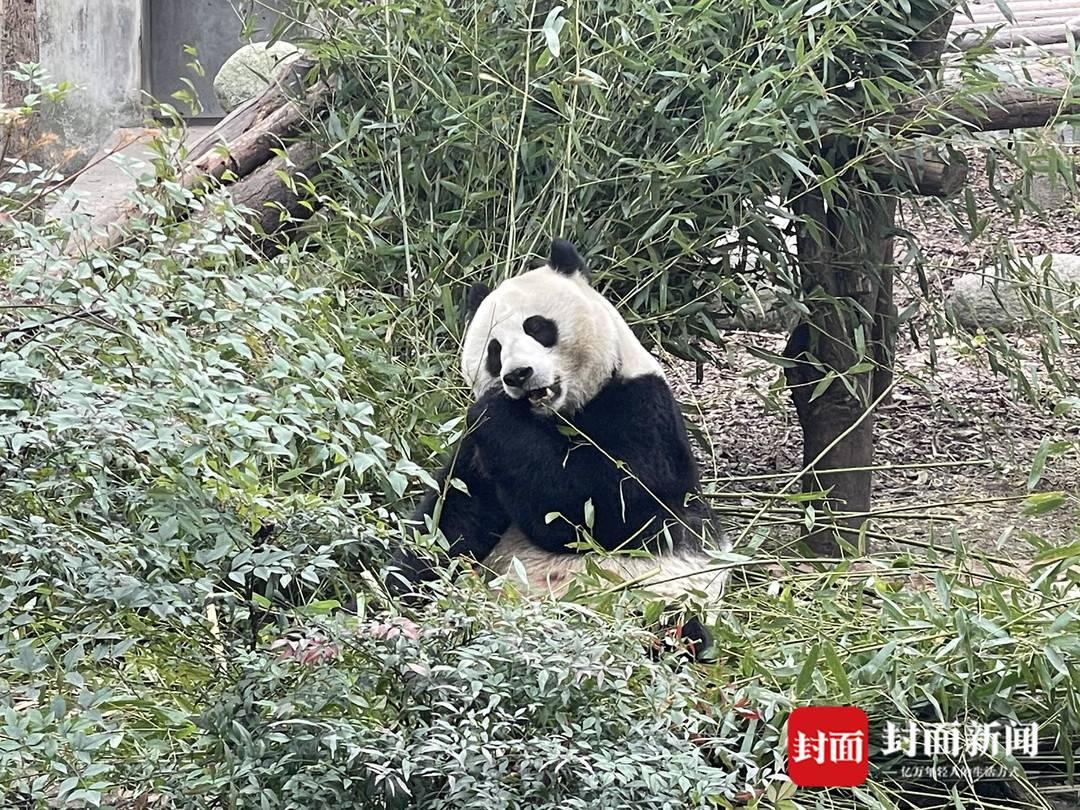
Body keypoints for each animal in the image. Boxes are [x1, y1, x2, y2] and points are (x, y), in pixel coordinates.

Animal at [388, 237, 725, 652]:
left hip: (653, 601)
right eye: (494, 350)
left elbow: (608, 510)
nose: (517, 375)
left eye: (537, 327)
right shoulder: (479, 456)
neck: (556, 416)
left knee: (676, 631)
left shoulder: (643, 410)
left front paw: (497, 411)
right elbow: (453, 517)